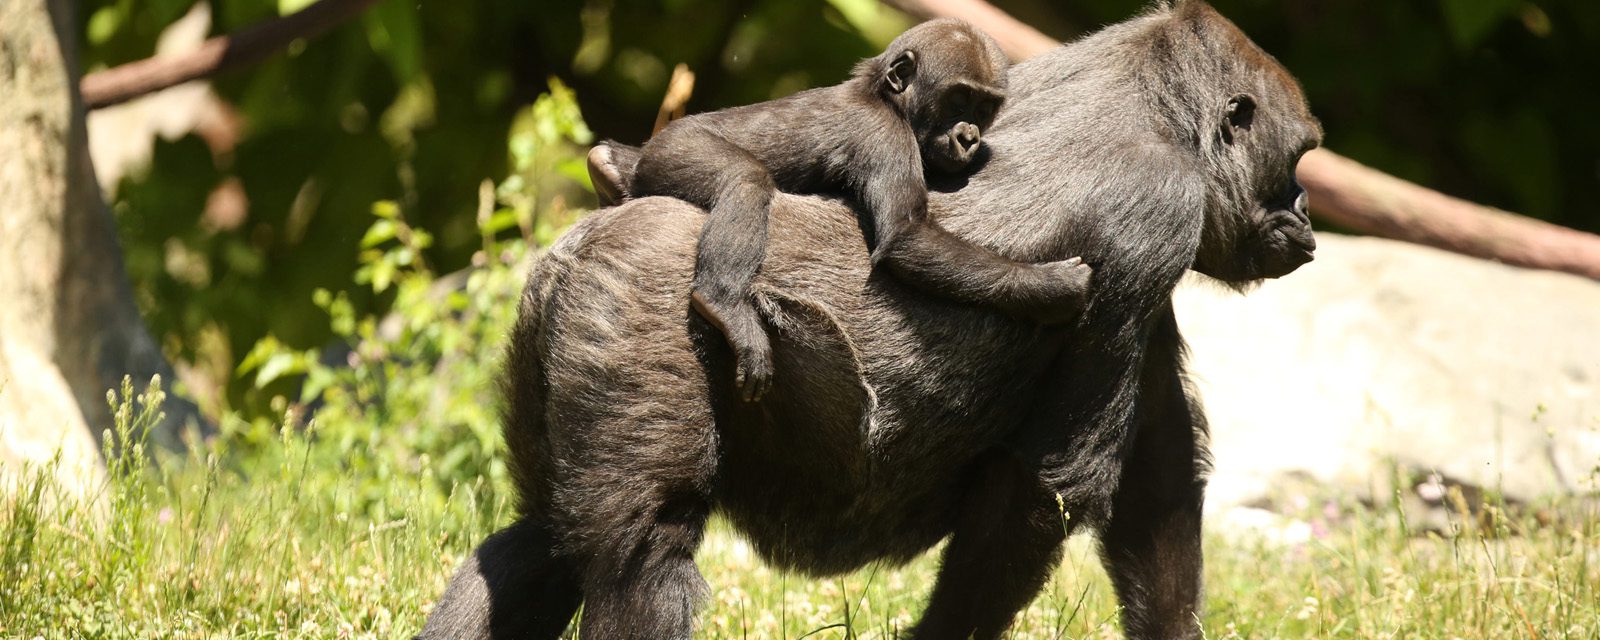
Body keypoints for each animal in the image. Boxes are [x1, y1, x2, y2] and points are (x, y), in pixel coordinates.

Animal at [624, 18, 1088, 400]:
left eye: (984, 108)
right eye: (958, 100)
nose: (968, 138)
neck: (883, 95)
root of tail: (648, 147)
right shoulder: (884, 135)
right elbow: (906, 237)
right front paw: (1049, 287)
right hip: (676, 148)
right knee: (746, 179)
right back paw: (721, 301)